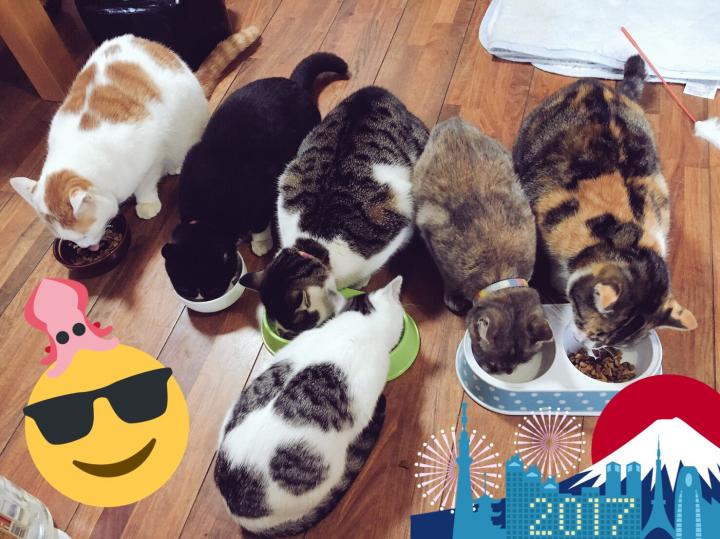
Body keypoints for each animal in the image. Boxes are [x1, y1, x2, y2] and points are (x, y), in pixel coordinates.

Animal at [10, 27, 259, 249]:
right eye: (70, 239)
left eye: (84, 235)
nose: (88, 247)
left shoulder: (151, 154)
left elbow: (146, 184)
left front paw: (146, 203)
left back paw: (176, 164)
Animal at [161, 53, 348, 301]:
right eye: (185, 290)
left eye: (214, 289)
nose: (203, 299)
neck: (207, 216)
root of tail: (293, 83)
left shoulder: (261, 193)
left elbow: (260, 223)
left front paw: (261, 243)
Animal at [240, 86, 428, 337]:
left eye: (292, 331)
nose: (286, 337)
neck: (315, 246)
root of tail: (374, 90)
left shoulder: (392, 231)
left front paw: (361, 281)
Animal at [413, 117, 552, 374]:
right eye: (494, 364)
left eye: (521, 362)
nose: (506, 372)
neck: (499, 272)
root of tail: (454, 123)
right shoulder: (435, 239)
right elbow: (448, 278)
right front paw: (453, 296)